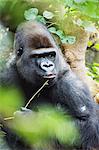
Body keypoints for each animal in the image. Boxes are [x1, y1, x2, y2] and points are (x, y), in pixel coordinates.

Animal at [0, 20, 99, 149]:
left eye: (50, 55)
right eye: (37, 56)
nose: (48, 65)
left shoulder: (73, 86)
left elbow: (91, 125)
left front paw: (33, 121)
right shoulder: (6, 77)